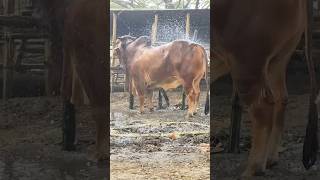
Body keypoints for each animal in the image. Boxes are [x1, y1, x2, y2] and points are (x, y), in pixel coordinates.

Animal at [212, 0, 318, 177]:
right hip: (278, 59)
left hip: (246, 62)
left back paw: (253, 169)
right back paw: (270, 159)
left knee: (263, 109)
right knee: (281, 98)